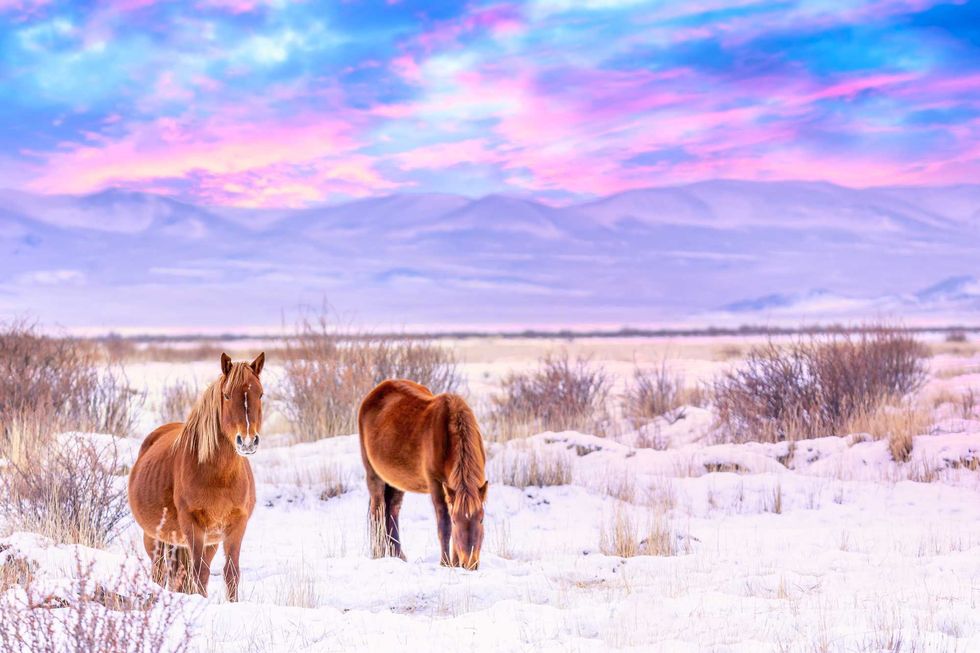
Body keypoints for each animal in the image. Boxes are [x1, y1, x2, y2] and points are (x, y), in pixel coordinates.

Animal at [128, 352, 265, 601]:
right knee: (159, 572)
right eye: (227, 395)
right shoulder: (192, 525)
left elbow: (231, 573)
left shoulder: (236, 526)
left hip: (203, 542)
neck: (220, 478)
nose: (248, 441)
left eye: (260, 393)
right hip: (154, 538)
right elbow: (199, 573)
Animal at [358, 379, 489, 570]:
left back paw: (398, 556)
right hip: (374, 475)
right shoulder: (436, 485)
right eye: (456, 521)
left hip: (397, 481)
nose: (470, 563)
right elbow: (444, 525)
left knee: (392, 510)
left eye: (481, 520)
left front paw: (455, 563)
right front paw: (445, 563)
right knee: (378, 511)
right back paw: (379, 554)